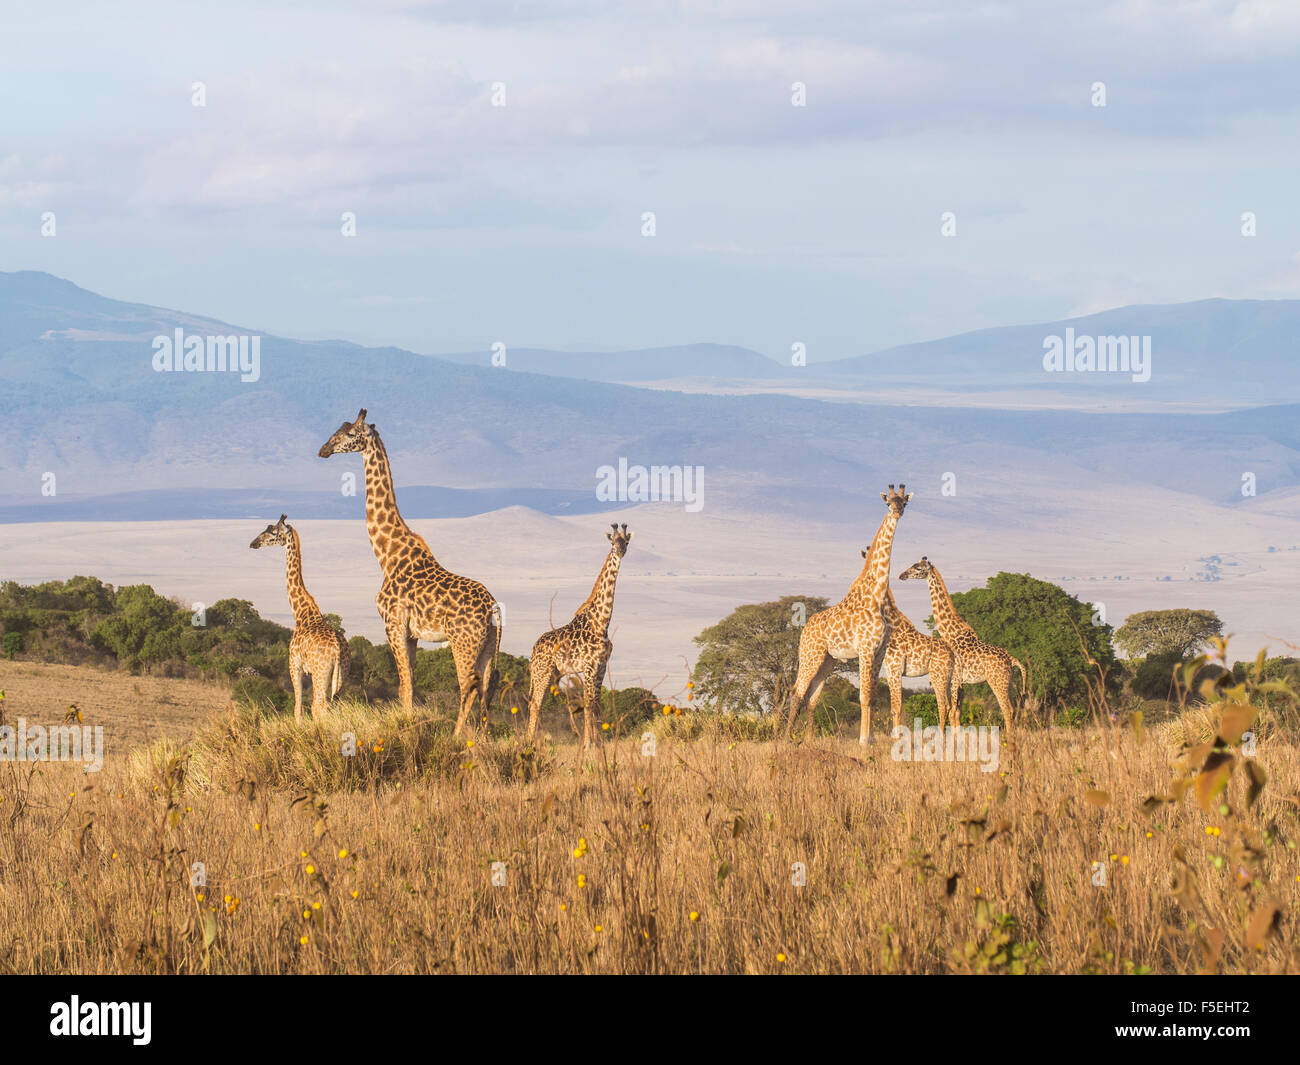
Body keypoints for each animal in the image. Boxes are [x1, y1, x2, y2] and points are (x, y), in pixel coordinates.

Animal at [246, 517, 351, 723]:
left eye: (272, 532)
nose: (253, 543)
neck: (301, 613)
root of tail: (337, 651)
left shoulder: (295, 665)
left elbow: (298, 707)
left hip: (320, 673)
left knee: (319, 706)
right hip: (342, 675)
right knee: (336, 705)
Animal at [319, 405, 501, 733]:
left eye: (349, 434)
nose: (323, 449)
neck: (387, 556)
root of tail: (494, 608)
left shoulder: (392, 623)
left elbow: (404, 685)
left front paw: (404, 726)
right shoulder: (412, 633)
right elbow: (411, 684)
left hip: (463, 643)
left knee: (467, 686)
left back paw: (457, 737)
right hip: (488, 646)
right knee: (485, 689)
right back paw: (480, 738)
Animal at [525, 525, 631, 749]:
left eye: (626, 541)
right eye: (612, 542)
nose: (620, 551)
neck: (601, 622)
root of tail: (533, 650)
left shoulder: (601, 666)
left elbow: (596, 705)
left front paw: (599, 743)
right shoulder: (589, 666)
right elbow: (589, 704)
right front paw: (589, 744)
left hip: (553, 674)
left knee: (537, 704)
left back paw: (534, 740)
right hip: (542, 673)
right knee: (535, 704)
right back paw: (529, 742)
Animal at [780, 486, 915, 743]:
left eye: (904, 502)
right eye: (888, 503)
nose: (897, 512)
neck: (877, 594)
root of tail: (804, 629)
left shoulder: (879, 651)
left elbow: (872, 696)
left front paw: (872, 740)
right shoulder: (865, 648)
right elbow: (864, 696)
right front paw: (863, 741)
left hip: (827, 661)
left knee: (812, 696)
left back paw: (809, 739)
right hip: (810, 656)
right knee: (796, 691)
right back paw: (785, 738)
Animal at [894, 559, 1024, 733]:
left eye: (918, 568)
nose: (902, 575)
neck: (950, 633)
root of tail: (1012, 659)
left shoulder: (955, 679)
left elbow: (952, 711)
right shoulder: (960, 683)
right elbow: (957, 712)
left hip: (997, 681)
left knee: (1007, 709)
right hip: (1008, 683)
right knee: (1014, 709)